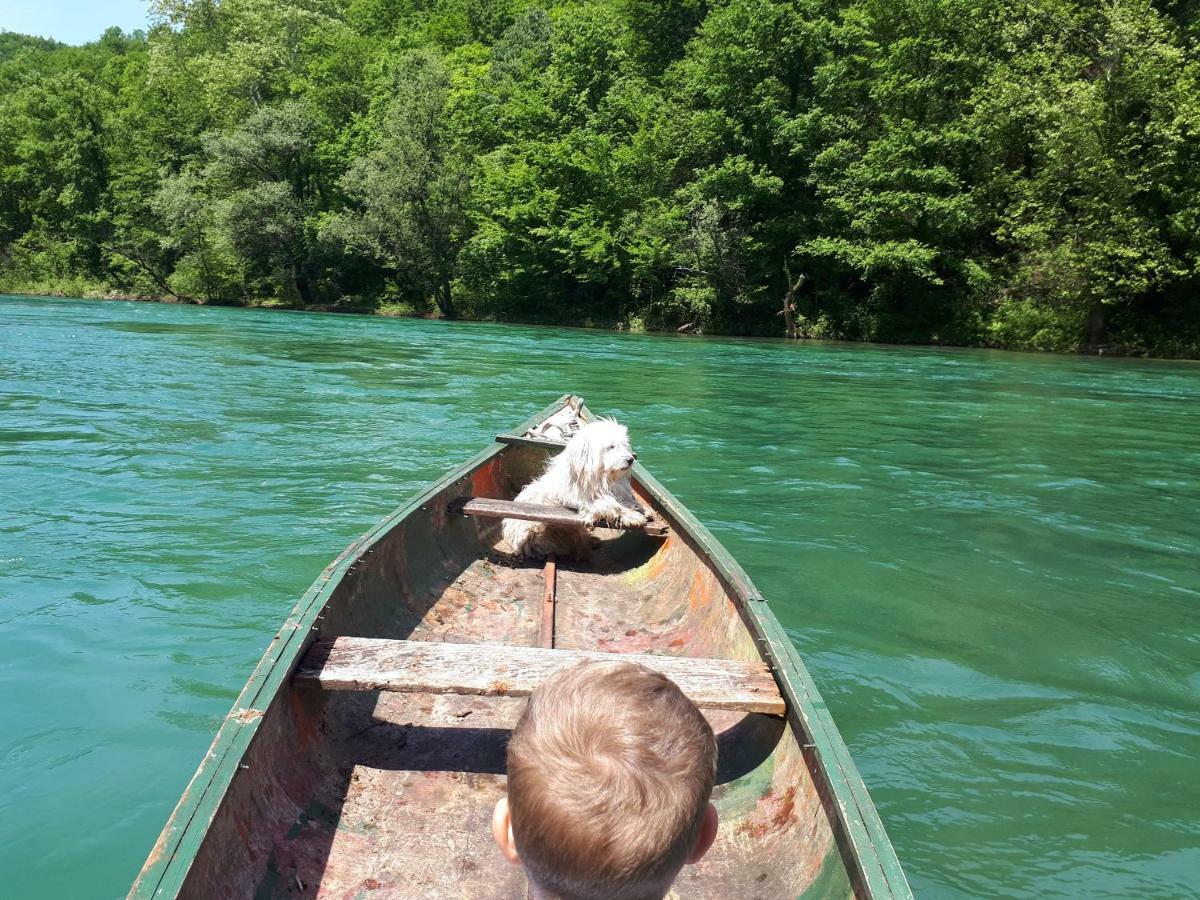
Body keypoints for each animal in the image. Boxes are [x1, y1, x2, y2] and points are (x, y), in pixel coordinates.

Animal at [504, 420, 648, 561]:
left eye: (624, 445)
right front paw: (633, 516)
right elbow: (610, 504)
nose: (630, 459)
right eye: (611, 446)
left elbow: (624, 500)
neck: (603, 477)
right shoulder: (586, 500)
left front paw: (640, 508)